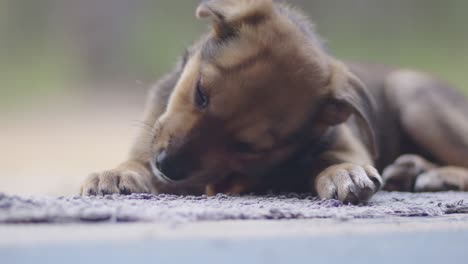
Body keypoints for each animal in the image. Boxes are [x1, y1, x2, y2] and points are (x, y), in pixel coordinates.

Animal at [80, 0, 468, 204]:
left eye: (247, 146)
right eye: (200, 93)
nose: (167, 167)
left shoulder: (348, 143)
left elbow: (336, 160)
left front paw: (345, 173)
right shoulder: (151, 143)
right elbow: (136, 162)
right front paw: (115, 173)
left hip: (413, 95)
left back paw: (434, 175)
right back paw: (410, 170)